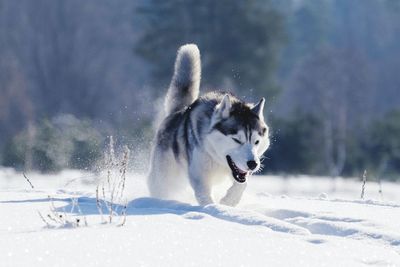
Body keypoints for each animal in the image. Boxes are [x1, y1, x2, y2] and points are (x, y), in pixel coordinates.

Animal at [146, 44, 268, 207]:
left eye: (256, 141)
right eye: (237, 140)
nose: (253, 164)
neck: (218, 160)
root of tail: (178, 112)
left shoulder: (240, 173)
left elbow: (242, 184)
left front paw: (229, 201)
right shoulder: (199, 175)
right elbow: (204, 196)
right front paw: (213, 208)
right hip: (167, 179)